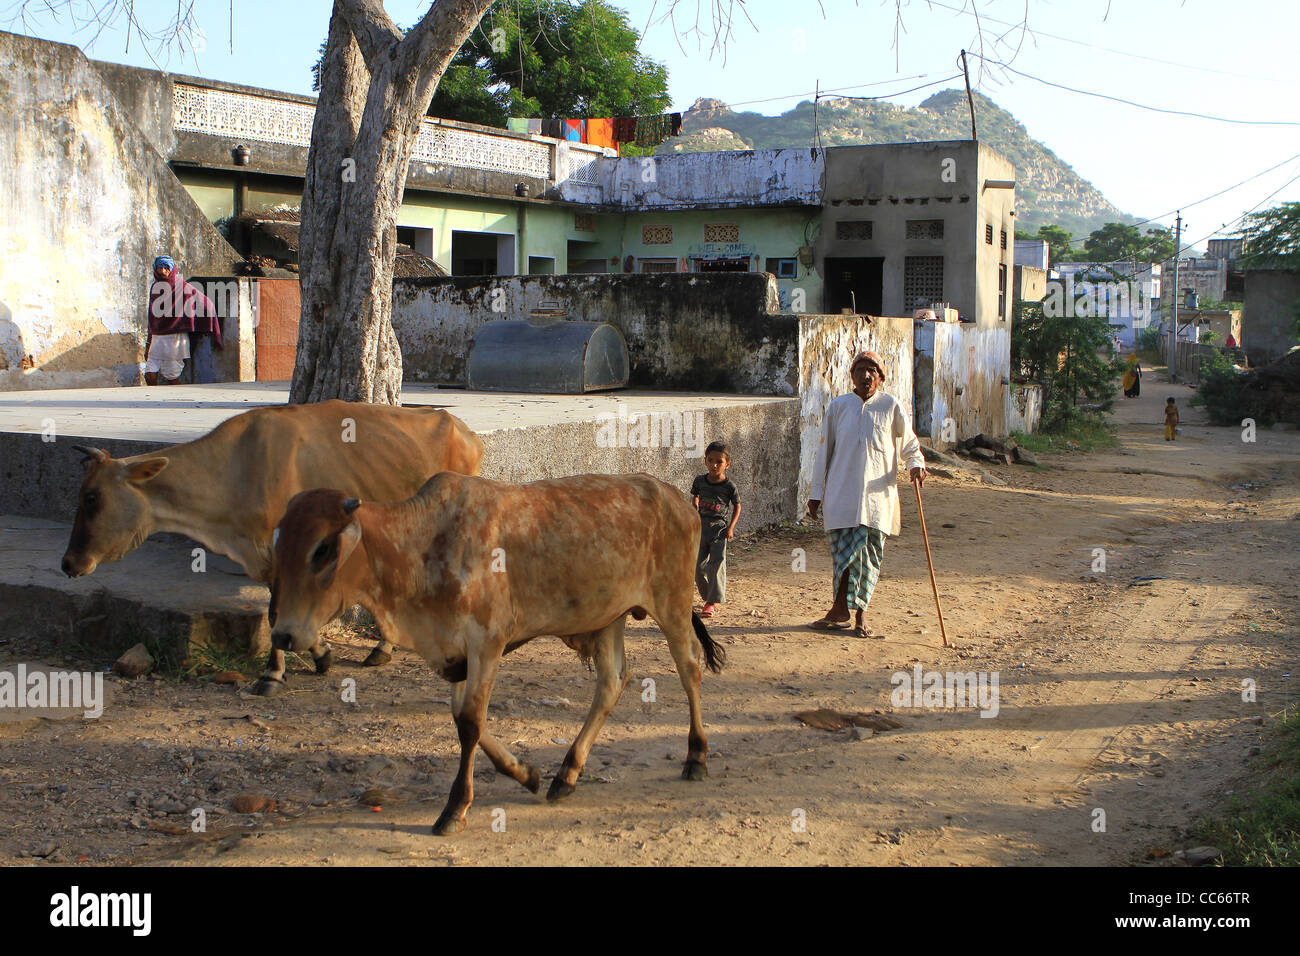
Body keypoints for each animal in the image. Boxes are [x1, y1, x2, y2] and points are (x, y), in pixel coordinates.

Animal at [61, 400, 483, 691]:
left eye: (92, 497)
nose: (69, 563)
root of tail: (464, 428)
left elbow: (277, 610)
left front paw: (273, 673)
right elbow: (281, 609)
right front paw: (320, 655)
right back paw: (384, 647)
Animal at [269, 476, 728, 832]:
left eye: (322, 549)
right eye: (278, 547)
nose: (283, 635)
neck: (425, 545)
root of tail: (675, 497)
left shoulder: (486, 642)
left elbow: (471, 722)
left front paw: (454, 809)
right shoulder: (458, 655)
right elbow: (463, 717)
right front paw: (527, 774)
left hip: (671, 604)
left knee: (689, 668)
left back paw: (696, 756)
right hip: (607, 619)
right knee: (612, 682)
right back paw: (566, 774)